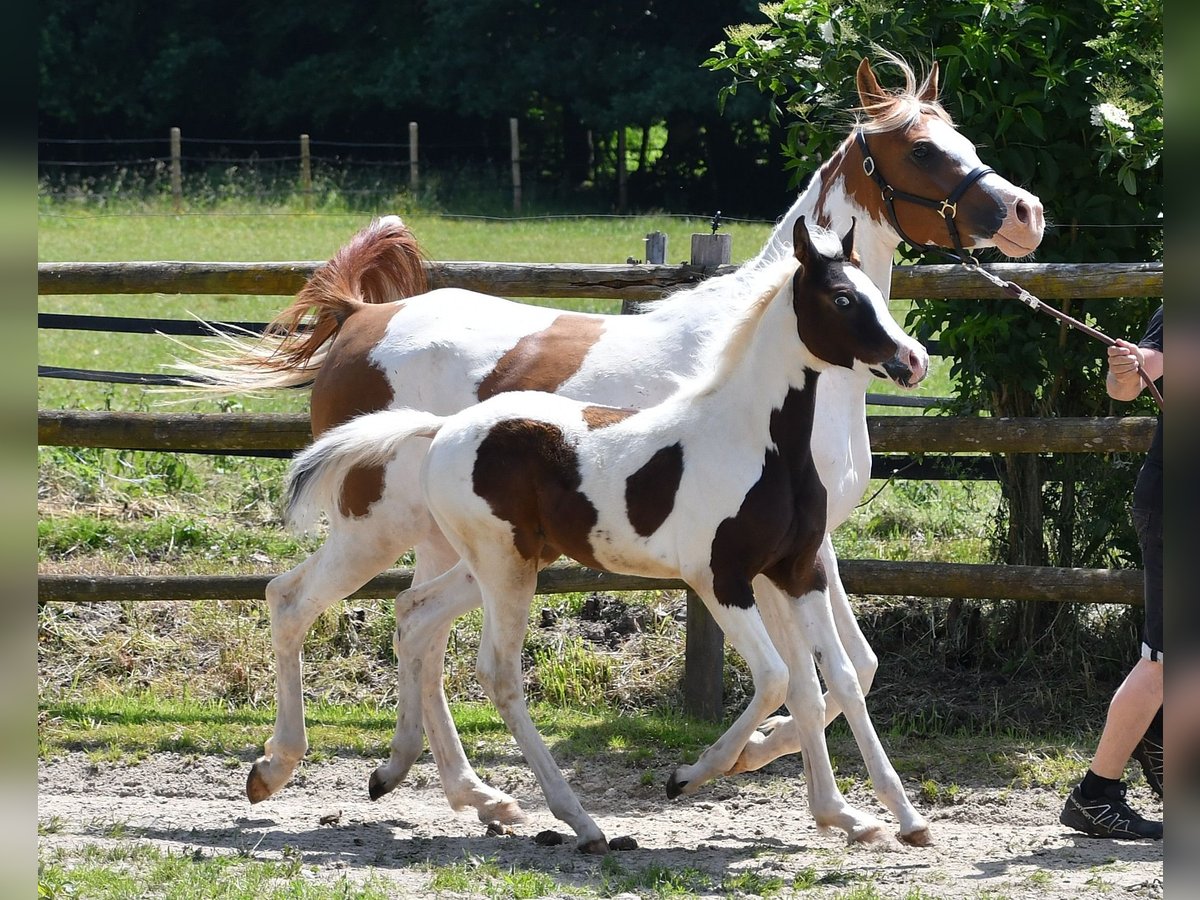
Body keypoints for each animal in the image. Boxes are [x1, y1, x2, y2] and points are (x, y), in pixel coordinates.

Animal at [284, 218, 932, 851]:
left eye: (876, 292)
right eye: (842, 297)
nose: (911, 360)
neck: (759, 443)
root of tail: (443, 429)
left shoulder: (797, 571)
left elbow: (834, 678)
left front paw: (874, 817)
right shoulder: (720, 579)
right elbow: (777, 679)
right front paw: (690, 775)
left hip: (496, 563)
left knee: (417, 615)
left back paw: (439, 785)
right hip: (493, 565)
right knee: (492, 670)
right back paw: (578, 822)